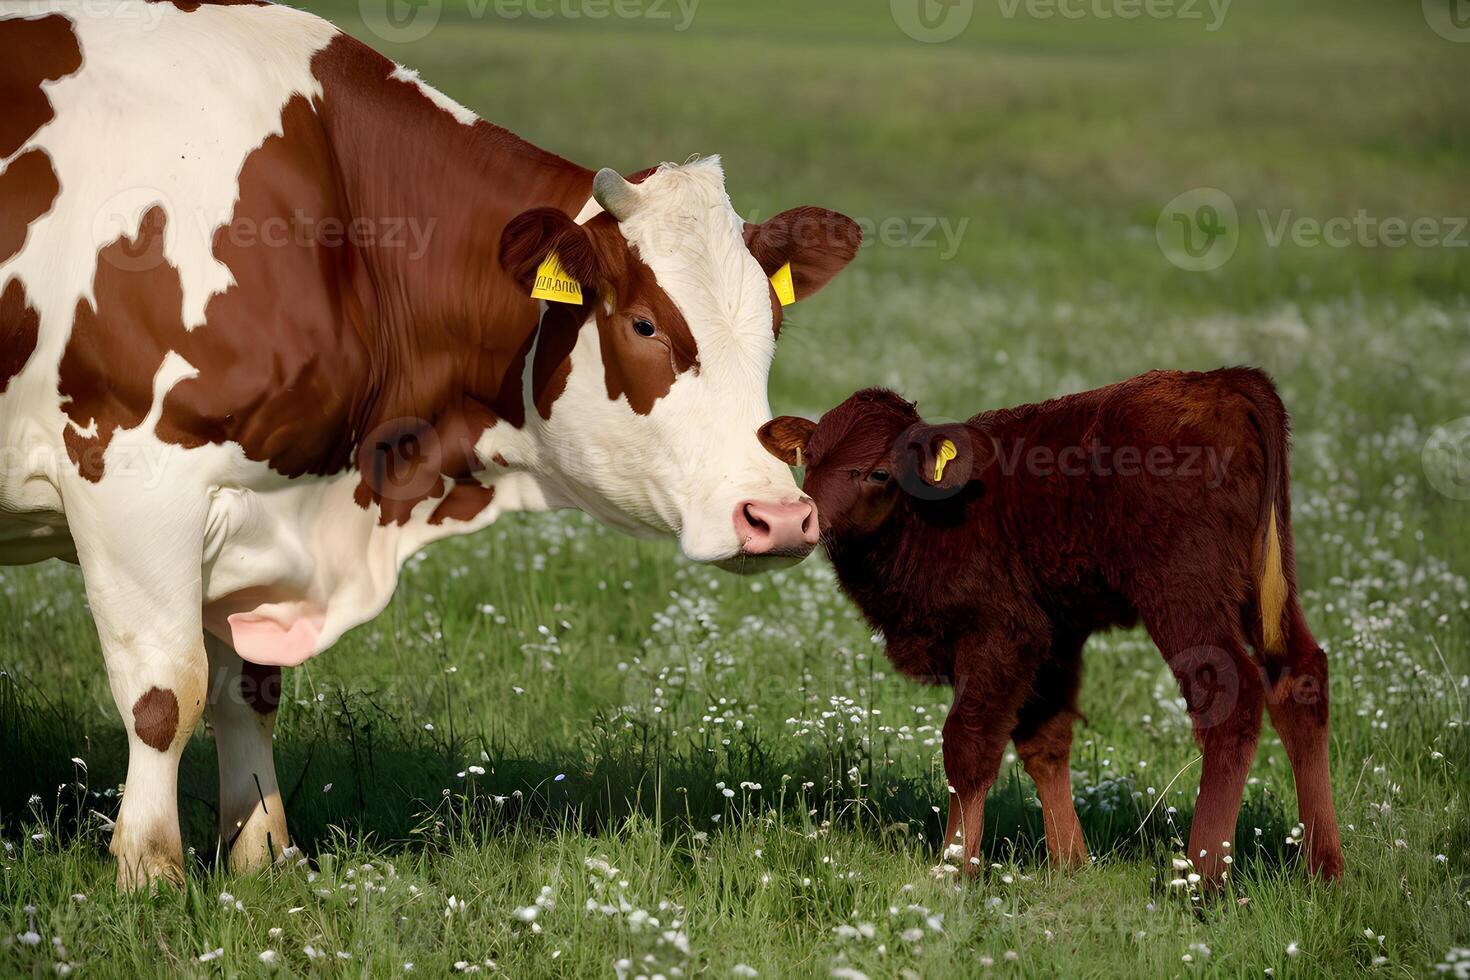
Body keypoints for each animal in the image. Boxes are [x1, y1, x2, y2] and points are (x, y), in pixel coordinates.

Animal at [0, 0, 858, 887]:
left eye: (774, 324)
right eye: (646, 324)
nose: (779, 516)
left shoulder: (260, 509)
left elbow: (250, 692)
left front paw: (264, 854)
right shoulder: (130, 479)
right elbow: (166, 692)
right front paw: (149, 872)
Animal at [764, 370, 1346, 887]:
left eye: (879, 472)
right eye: (810, 460)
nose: (807, 519)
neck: (930, 518)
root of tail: (1224, 382)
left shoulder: (1001, 634)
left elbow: (967, 747)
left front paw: (954, 868)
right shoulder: (1054, 639)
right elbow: (1045, 741)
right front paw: (1070, 862)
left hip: (1184, 595)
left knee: (1231, 697)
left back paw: (1202, 879)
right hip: (1264, 588)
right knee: (1300, 679)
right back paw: (1323, 869)